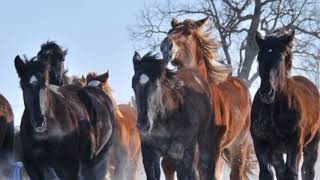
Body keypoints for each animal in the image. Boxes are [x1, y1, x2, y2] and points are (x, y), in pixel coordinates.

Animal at [161, 17, 254, 180]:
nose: (166, 45)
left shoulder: (210, 149)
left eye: (188, 33)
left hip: (238, 145)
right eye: (169, 31)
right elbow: (169, 166)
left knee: (236, 173)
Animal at [251, 26, 318, 180]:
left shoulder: (295, 145)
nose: (267, 92)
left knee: (307, 170)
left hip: (311, 145)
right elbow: (266, 173)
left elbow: (291, 173)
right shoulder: (261, 144)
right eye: (259, 57)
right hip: (276, 152)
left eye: (281, 58)